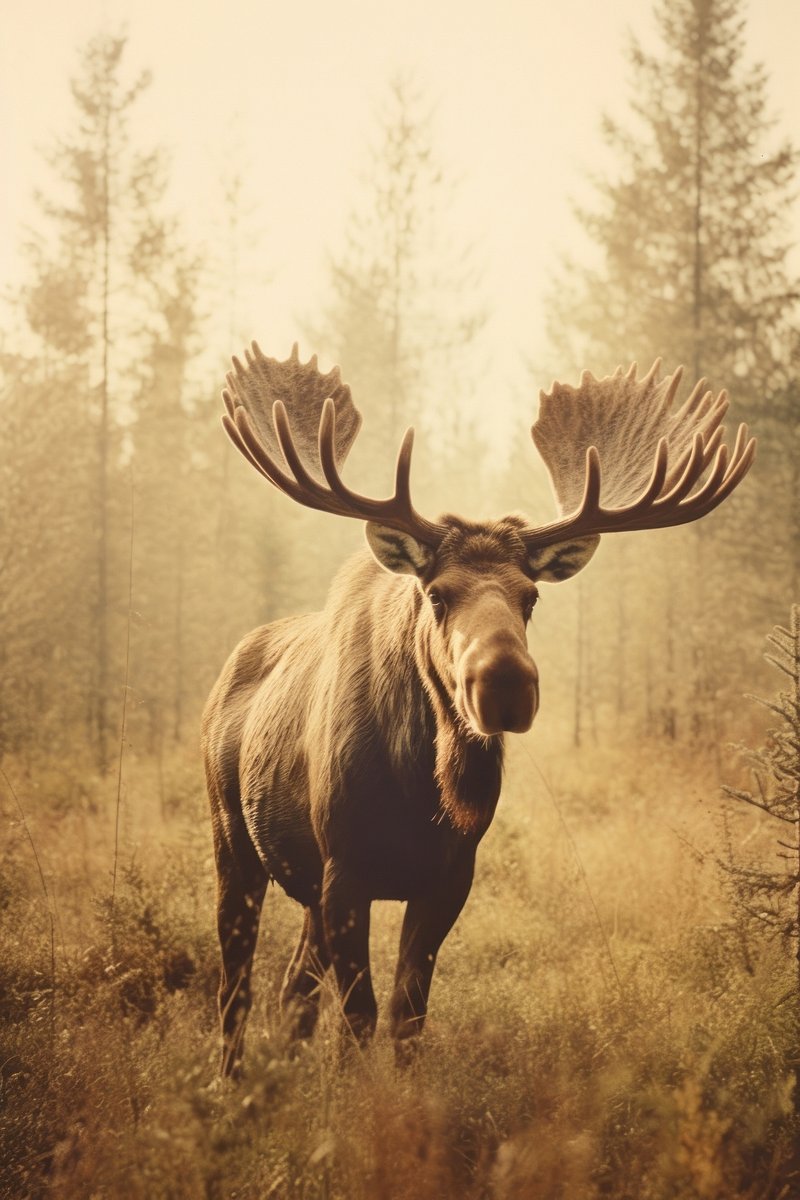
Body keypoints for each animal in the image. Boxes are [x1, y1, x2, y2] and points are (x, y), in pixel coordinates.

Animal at [202, 343, 755, 1075]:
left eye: (530, 597)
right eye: (437, 594)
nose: (506, 684)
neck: (418, 787)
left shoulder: (448, 875)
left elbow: (406, 1016)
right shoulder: (345, 870)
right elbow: (360, 1017)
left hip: (302, 882)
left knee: (294, 989)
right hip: (231, 836)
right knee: (235, 981)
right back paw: (229, 1082)